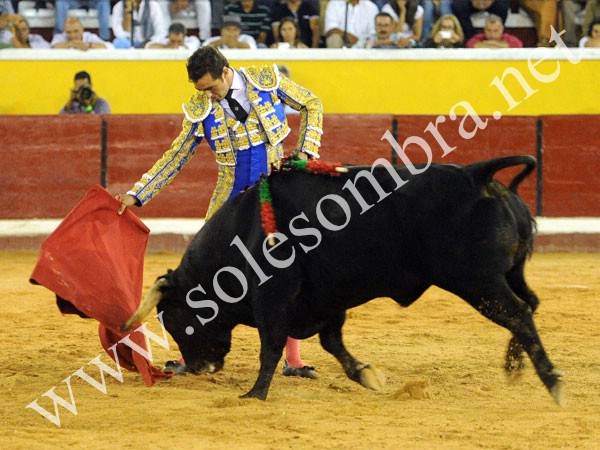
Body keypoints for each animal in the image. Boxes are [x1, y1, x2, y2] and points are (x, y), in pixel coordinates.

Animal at [123, 155, 564, 405]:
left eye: (175, 321)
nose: (200, 367)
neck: (243, 231)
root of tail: (477, 175)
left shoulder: (273, 298)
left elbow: (271, 346)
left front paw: (254, 395)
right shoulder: (324, 301)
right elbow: (333, 344)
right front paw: (369, 376)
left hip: (477, 281)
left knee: (518, 313)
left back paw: (553, 383)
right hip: (508, 273)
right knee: (530, 306)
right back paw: (515, 367)